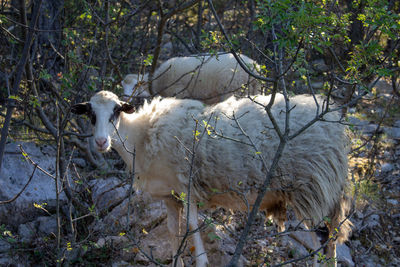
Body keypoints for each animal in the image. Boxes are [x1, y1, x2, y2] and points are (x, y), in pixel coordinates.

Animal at [72, 91, 354, 266]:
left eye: (116, 111)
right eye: (91, 115)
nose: (100, 142)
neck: (142, 136)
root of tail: (335, 124)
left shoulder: (187, 188)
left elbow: (192, 230)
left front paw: (201, 260)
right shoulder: (170, 196)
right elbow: (173, 234)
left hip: (311, 187)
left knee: (319, 239)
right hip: (325, 191)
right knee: (331, 238)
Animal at [122, 53, 262, 104]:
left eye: (135, 86)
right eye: (122, 86)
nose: (124, 97)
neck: (157, 81)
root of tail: (254, 69)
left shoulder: (179, 93)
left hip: (234, 90)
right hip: (253, 91)